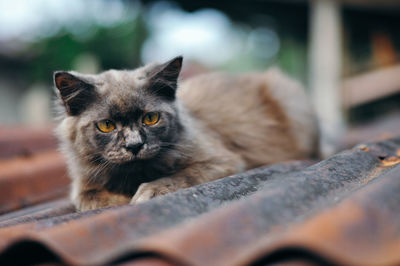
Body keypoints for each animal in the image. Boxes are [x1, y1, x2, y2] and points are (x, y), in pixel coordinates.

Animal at [54, 56, 318, 212]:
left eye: (151, 118)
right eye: (107, 125)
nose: (135, 145)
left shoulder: (222, 160)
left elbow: (181, 175)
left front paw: (148, 192)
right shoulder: (83, 184)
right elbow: (88, 198)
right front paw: (122, 199)